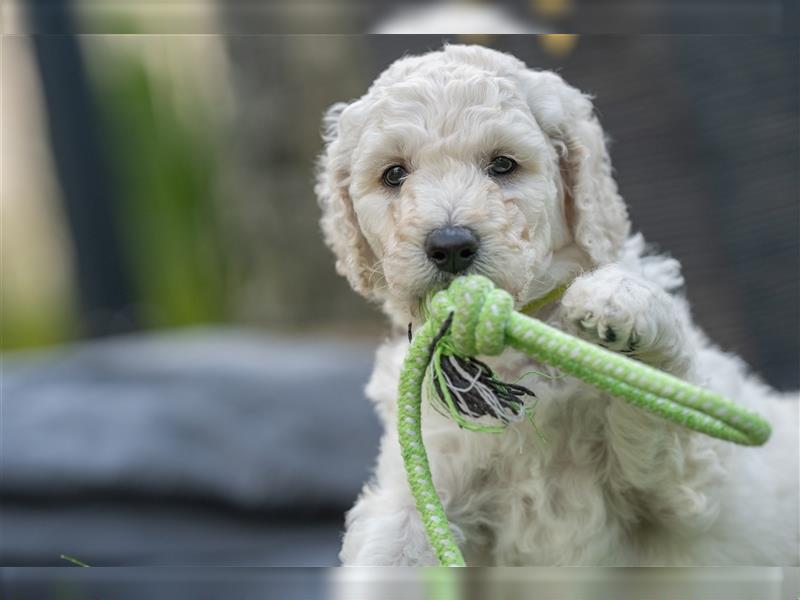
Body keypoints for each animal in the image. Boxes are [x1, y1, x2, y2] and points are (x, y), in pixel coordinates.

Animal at [316, 44, 796, 564]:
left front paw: (617, 301)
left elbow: (663, 410)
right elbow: (390, 550)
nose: (450, 245)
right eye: (394, 175)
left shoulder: (690, 491)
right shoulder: (422, 482)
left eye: (503, 165)